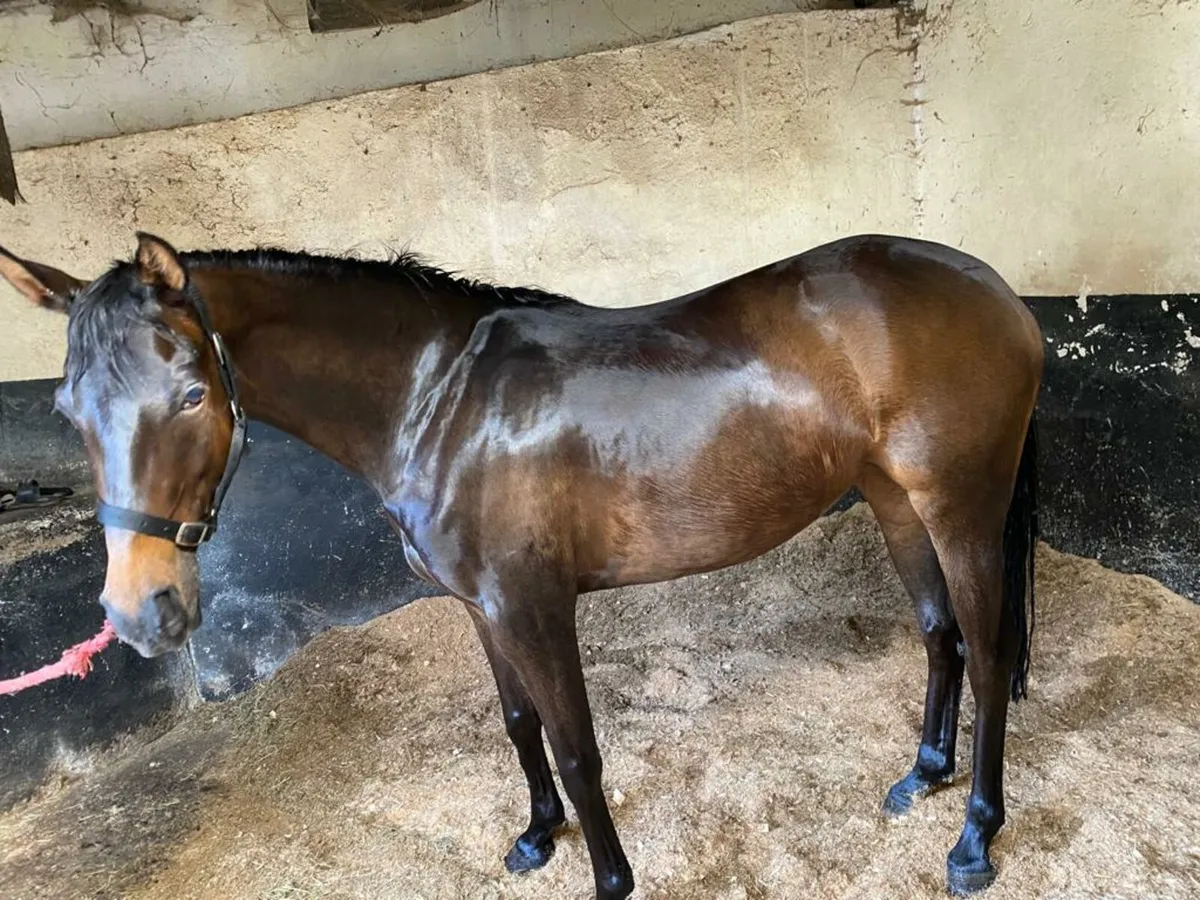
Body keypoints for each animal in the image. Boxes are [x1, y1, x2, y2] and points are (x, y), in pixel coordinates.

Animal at [0, 231, 1042, 898]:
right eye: (66, 410)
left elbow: (579, 749)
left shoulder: (533, 604)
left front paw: (612, 880)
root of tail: (997, 292)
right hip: (895, 500)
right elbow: (518, 724)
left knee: (990, 651)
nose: (140, 613)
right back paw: (922, 776)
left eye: (189, 394)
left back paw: (973, 840)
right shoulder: (482, 606)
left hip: (958, 504)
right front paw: (538, 837)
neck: (440, 398)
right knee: (940, 635)